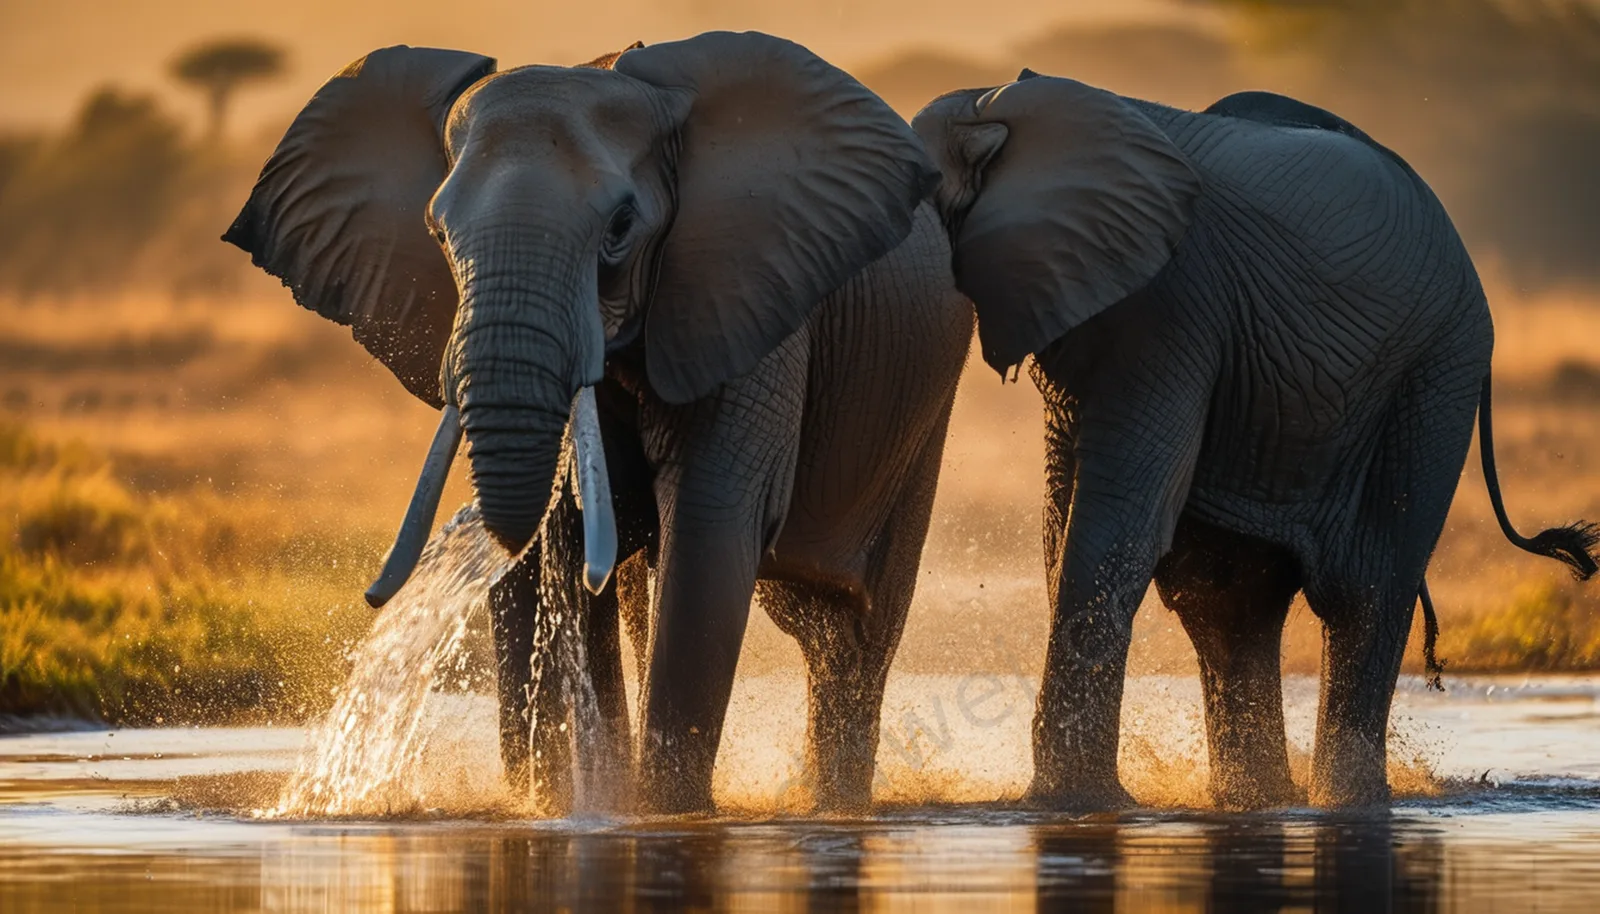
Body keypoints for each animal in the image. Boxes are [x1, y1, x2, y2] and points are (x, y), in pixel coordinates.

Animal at [224, 32, 973, 814]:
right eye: (437, 231)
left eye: (620, 227)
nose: (375, 596)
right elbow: (564, 539)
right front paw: (576, 806)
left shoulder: (747, 295)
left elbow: (707, 527)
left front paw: (663, 812)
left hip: (923, 407)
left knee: (854, 633)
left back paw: (838, 805)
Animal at [912, 74, 1599, 809]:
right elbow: (1062, 527)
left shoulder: (1172, 305)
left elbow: (1117, 526)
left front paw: (1074, 806)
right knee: (1227, 602)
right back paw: (1261, 801)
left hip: (1435, 377)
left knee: (1365, 593)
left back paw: (1345, 801)